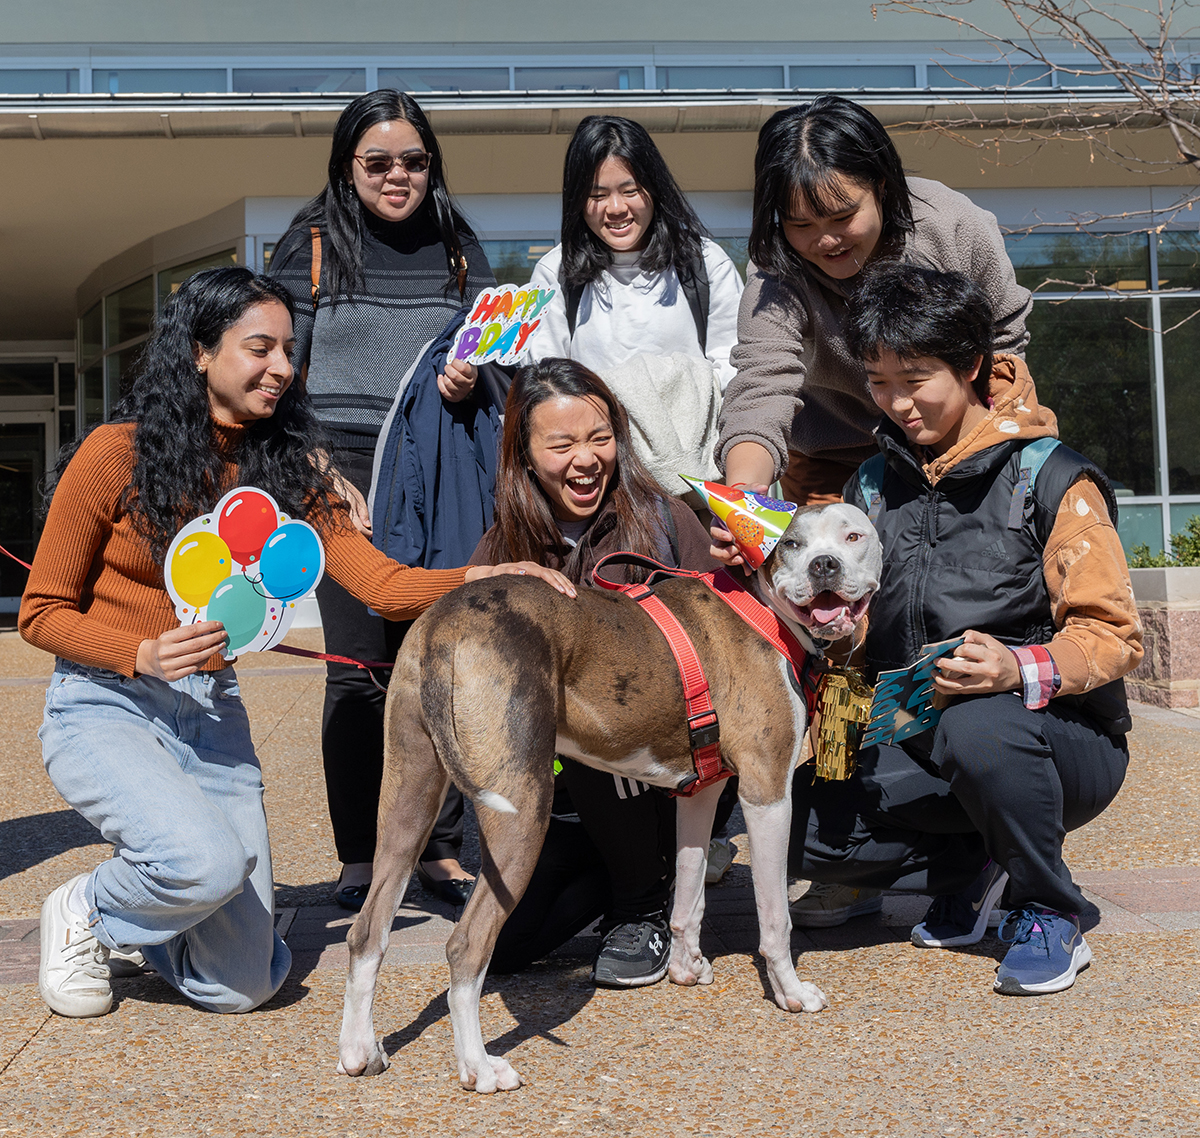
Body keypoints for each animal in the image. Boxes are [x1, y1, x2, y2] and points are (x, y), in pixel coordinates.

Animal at [338, 501, 883, 1089]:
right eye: (791, 545)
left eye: (853, 536)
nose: (825, 566)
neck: (764, 608)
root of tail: (446, 622)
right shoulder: (768, 792)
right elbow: (775, 915)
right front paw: (791, 992)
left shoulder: (701, 793)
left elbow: (689, 892)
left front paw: (686, 967)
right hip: (521, 812)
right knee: (466, 946)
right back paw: (479, 1067)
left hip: (408, 798)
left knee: (367, 930)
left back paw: (359, 1051)